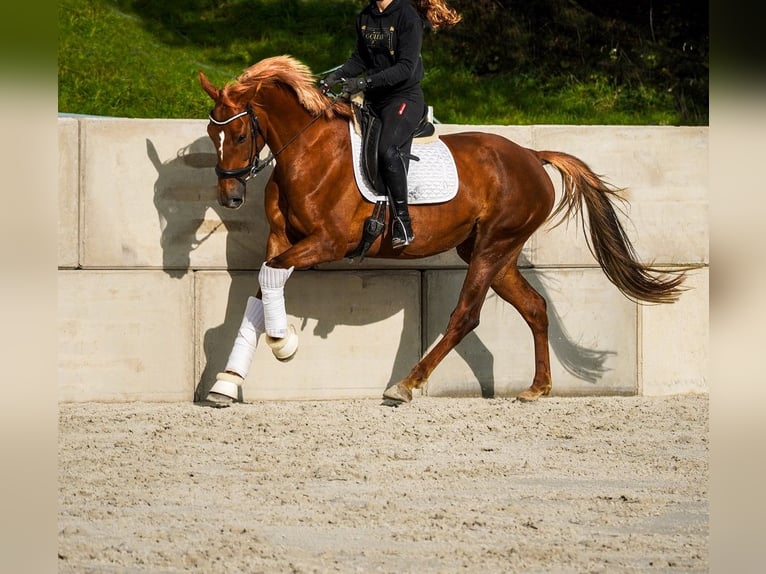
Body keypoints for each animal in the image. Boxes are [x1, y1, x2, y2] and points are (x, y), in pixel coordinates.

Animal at [198, 56, 684, 402]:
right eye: (210, 133)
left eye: (239, 135)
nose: (230, 197)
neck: (308, 152)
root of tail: (531, 155)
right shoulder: (283, 239)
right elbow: (263, 287)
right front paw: (227, 382)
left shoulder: (328, 243)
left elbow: (269, 276)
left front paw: (283, 343)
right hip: (495, 253)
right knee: (534, 307)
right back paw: (536, 388)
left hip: (492, 246)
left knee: (466, 315)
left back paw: (406, 385)